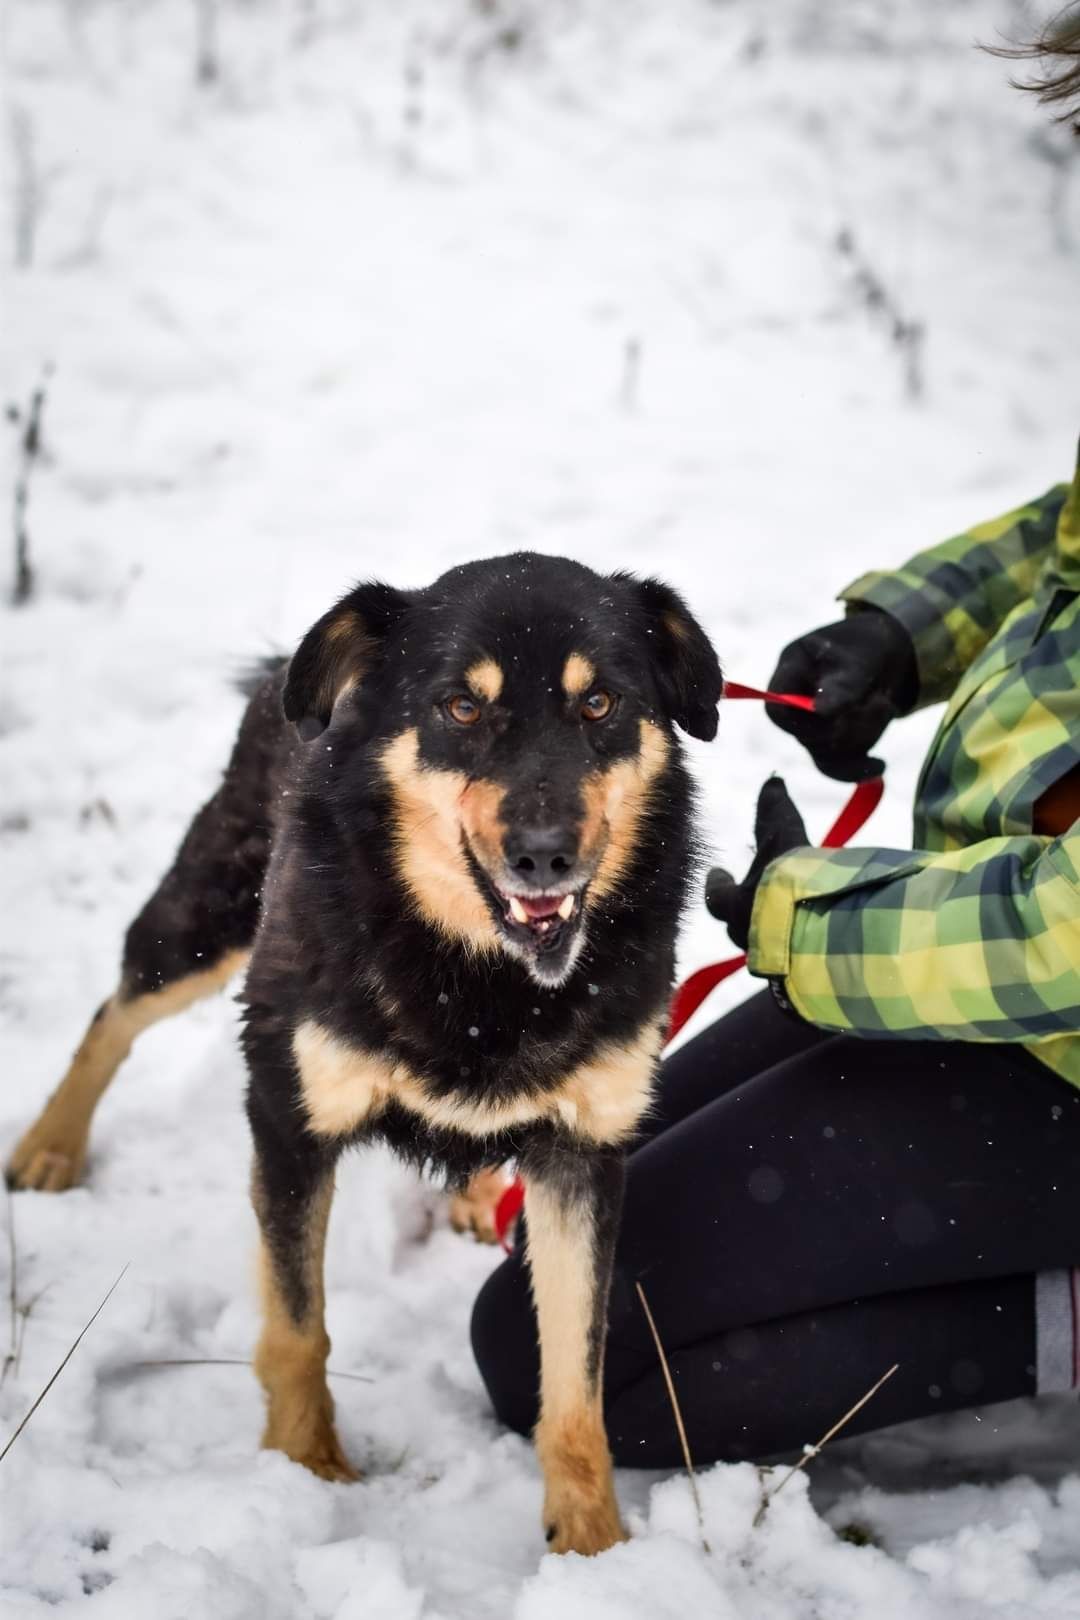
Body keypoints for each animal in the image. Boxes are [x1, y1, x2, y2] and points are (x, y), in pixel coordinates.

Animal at [8, 554, 722, 1555]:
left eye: (600, 703)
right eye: (460, 706)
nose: (547, 857)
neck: (478, 975)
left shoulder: (585, 1153)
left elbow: (576, 1386)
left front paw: (593, 1548)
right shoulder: (289, 1115)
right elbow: (297, 1331)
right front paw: (305, 1473)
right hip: (204, 922)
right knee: (113, 1012)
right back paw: (51, 1146)